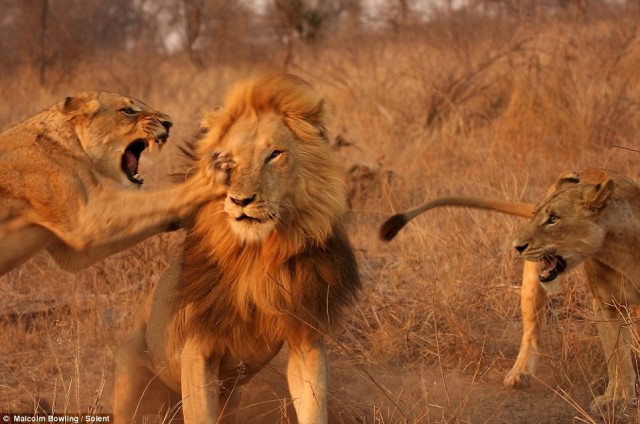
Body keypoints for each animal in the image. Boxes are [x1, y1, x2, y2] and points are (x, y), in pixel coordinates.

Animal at [0, 91, 224, 276]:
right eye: (128, 111)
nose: (169, 123)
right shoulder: (83, 218)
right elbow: (160, 199)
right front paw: (208, 177)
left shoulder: (71, 250)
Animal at [114, 74, 360, 422]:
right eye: (225, 161)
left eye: (274, 154)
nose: (240, 200)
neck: (257, 254)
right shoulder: (196, 351)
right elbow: (199, 414)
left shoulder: (306, 339)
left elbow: (313, 407)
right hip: (129, 378)